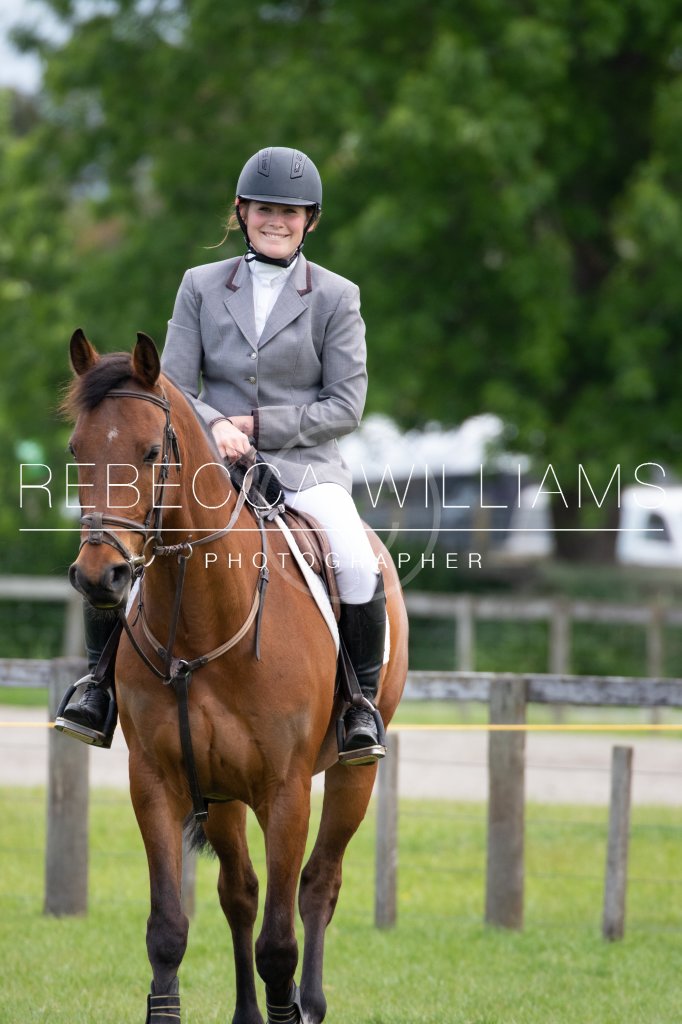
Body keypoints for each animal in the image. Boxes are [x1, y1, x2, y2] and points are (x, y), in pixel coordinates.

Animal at [63, 328, 408, 1024]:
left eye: (150, 452)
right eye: (76, 450)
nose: (99, 577)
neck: (204, 622)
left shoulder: (286, 792)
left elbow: (280, 943)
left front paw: (292, 1005)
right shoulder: (158, 783)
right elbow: (169, 932)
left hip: (353, 776)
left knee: (318, 886)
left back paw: (313, 1002)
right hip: (220, 794)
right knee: (239, 892)